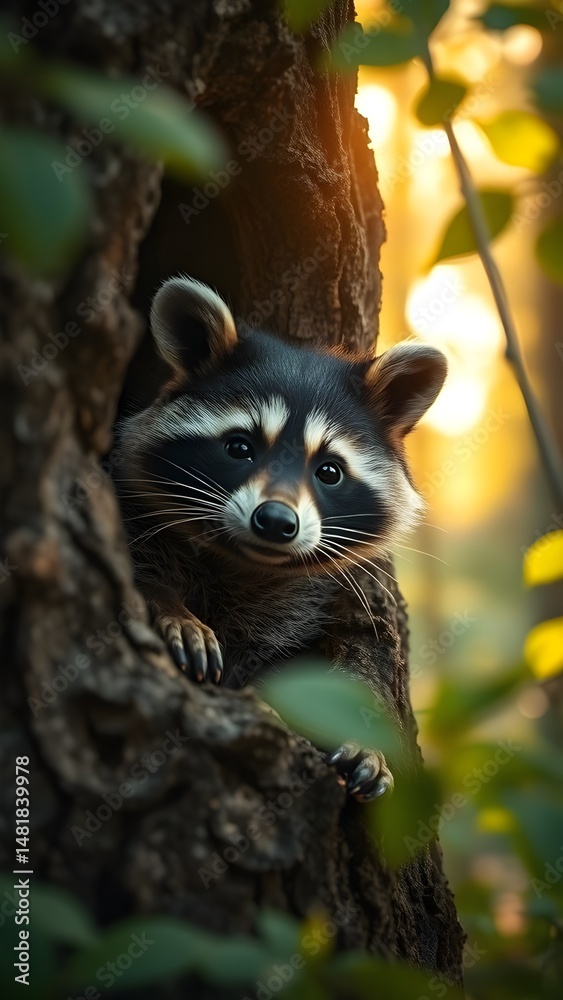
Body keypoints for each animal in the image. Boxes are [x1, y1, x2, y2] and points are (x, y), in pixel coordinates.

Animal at [116, 276, 447, 800]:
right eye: (240, 447)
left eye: (329, 470)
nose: (274, 519)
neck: (247, 561)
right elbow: (139, 568)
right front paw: (171, 607)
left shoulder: (340, 597)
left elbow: (353, 654)